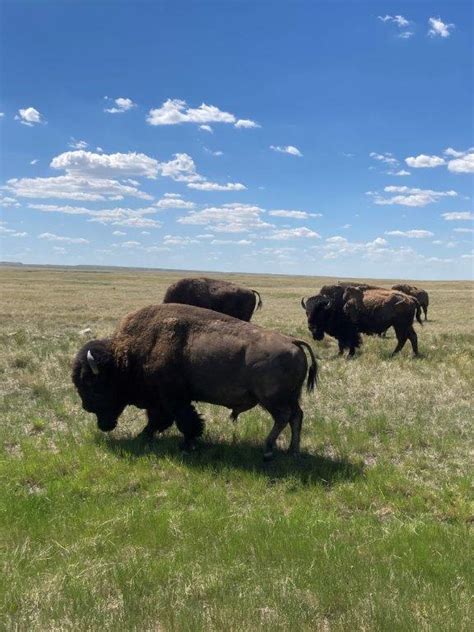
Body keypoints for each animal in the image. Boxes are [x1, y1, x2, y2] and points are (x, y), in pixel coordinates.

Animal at [72, 302, 316, 460]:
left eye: (93, 385)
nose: (87, 407)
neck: (129, 354)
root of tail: (293, 342)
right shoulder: (163, 399)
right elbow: (160, 419)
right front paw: (146, 435)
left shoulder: (172, 398)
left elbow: (180, 419)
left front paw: (187, 443)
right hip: (290, 397)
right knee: (297, 416)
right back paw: (293, 452)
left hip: (272, 399)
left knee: (284, 417)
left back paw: (268, 449)